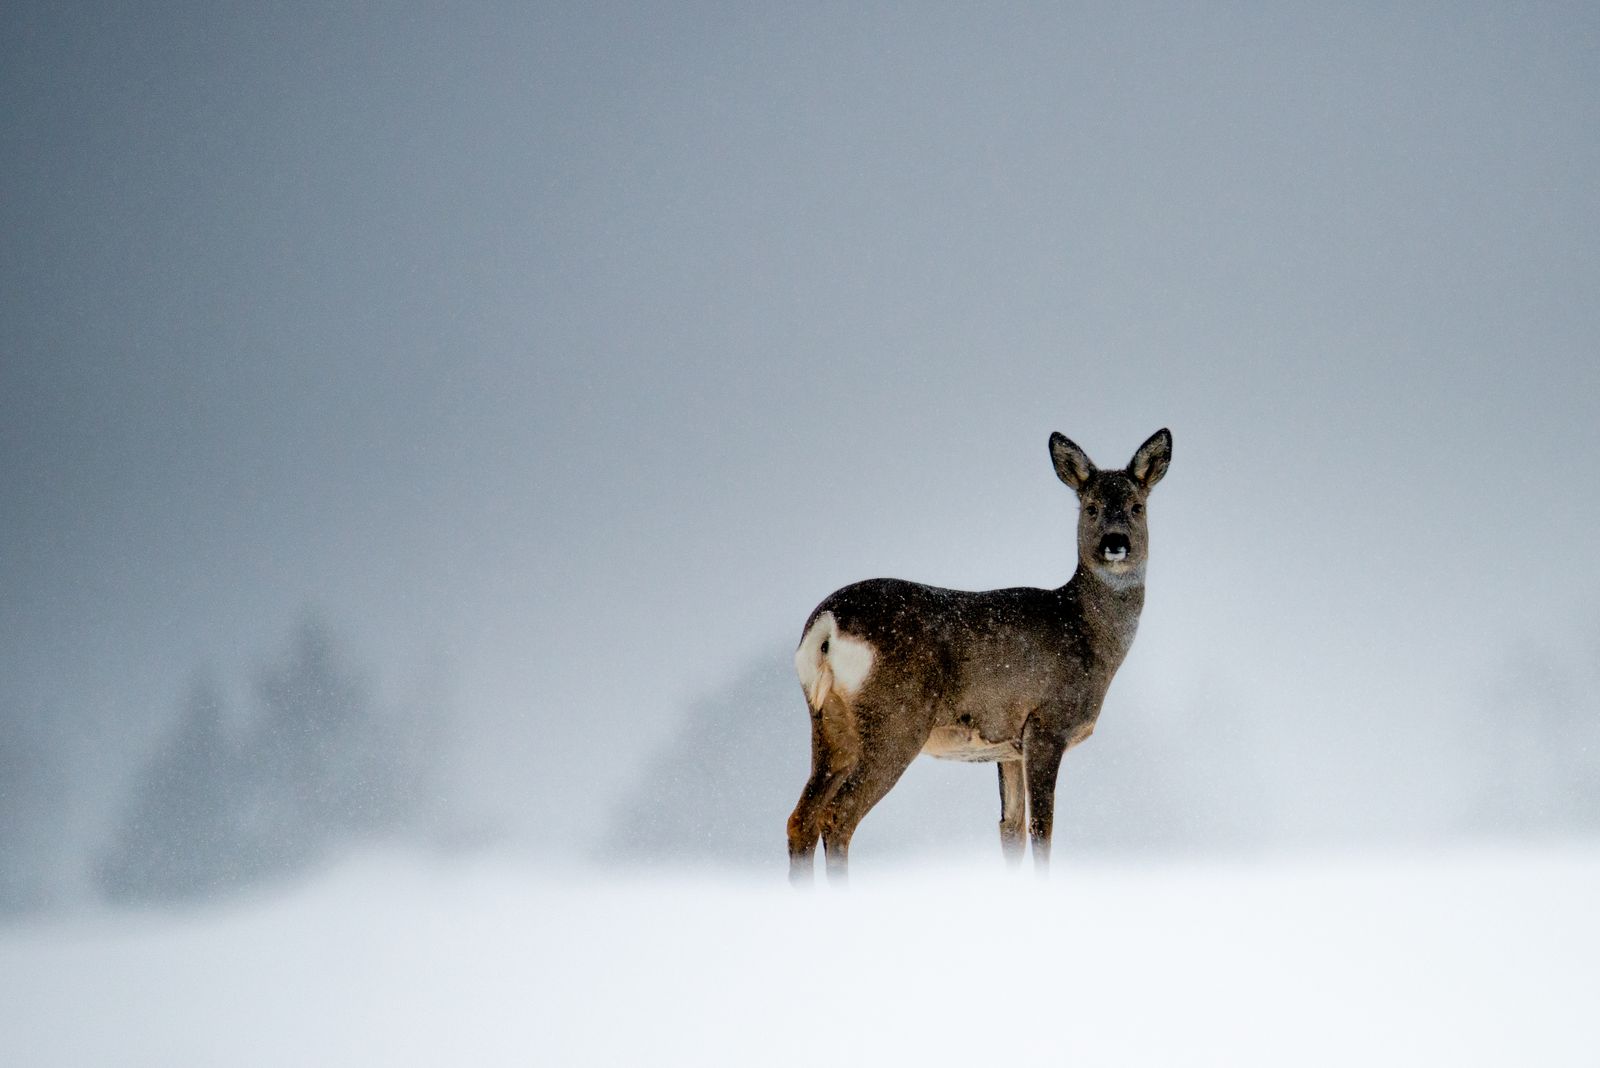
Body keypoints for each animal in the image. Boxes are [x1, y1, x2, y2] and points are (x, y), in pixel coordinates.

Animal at [787, 428, 1172, 884]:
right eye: (1091, 507)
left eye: (1136, 506)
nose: (1116, 543)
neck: (1085, 630)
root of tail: (827, 625)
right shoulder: (1047, 724)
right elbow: (1042, 831)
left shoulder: (1009, 746)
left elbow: (1011, 831)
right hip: (896, 720)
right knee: (837, 817)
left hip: (829, 722)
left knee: (802, 820)